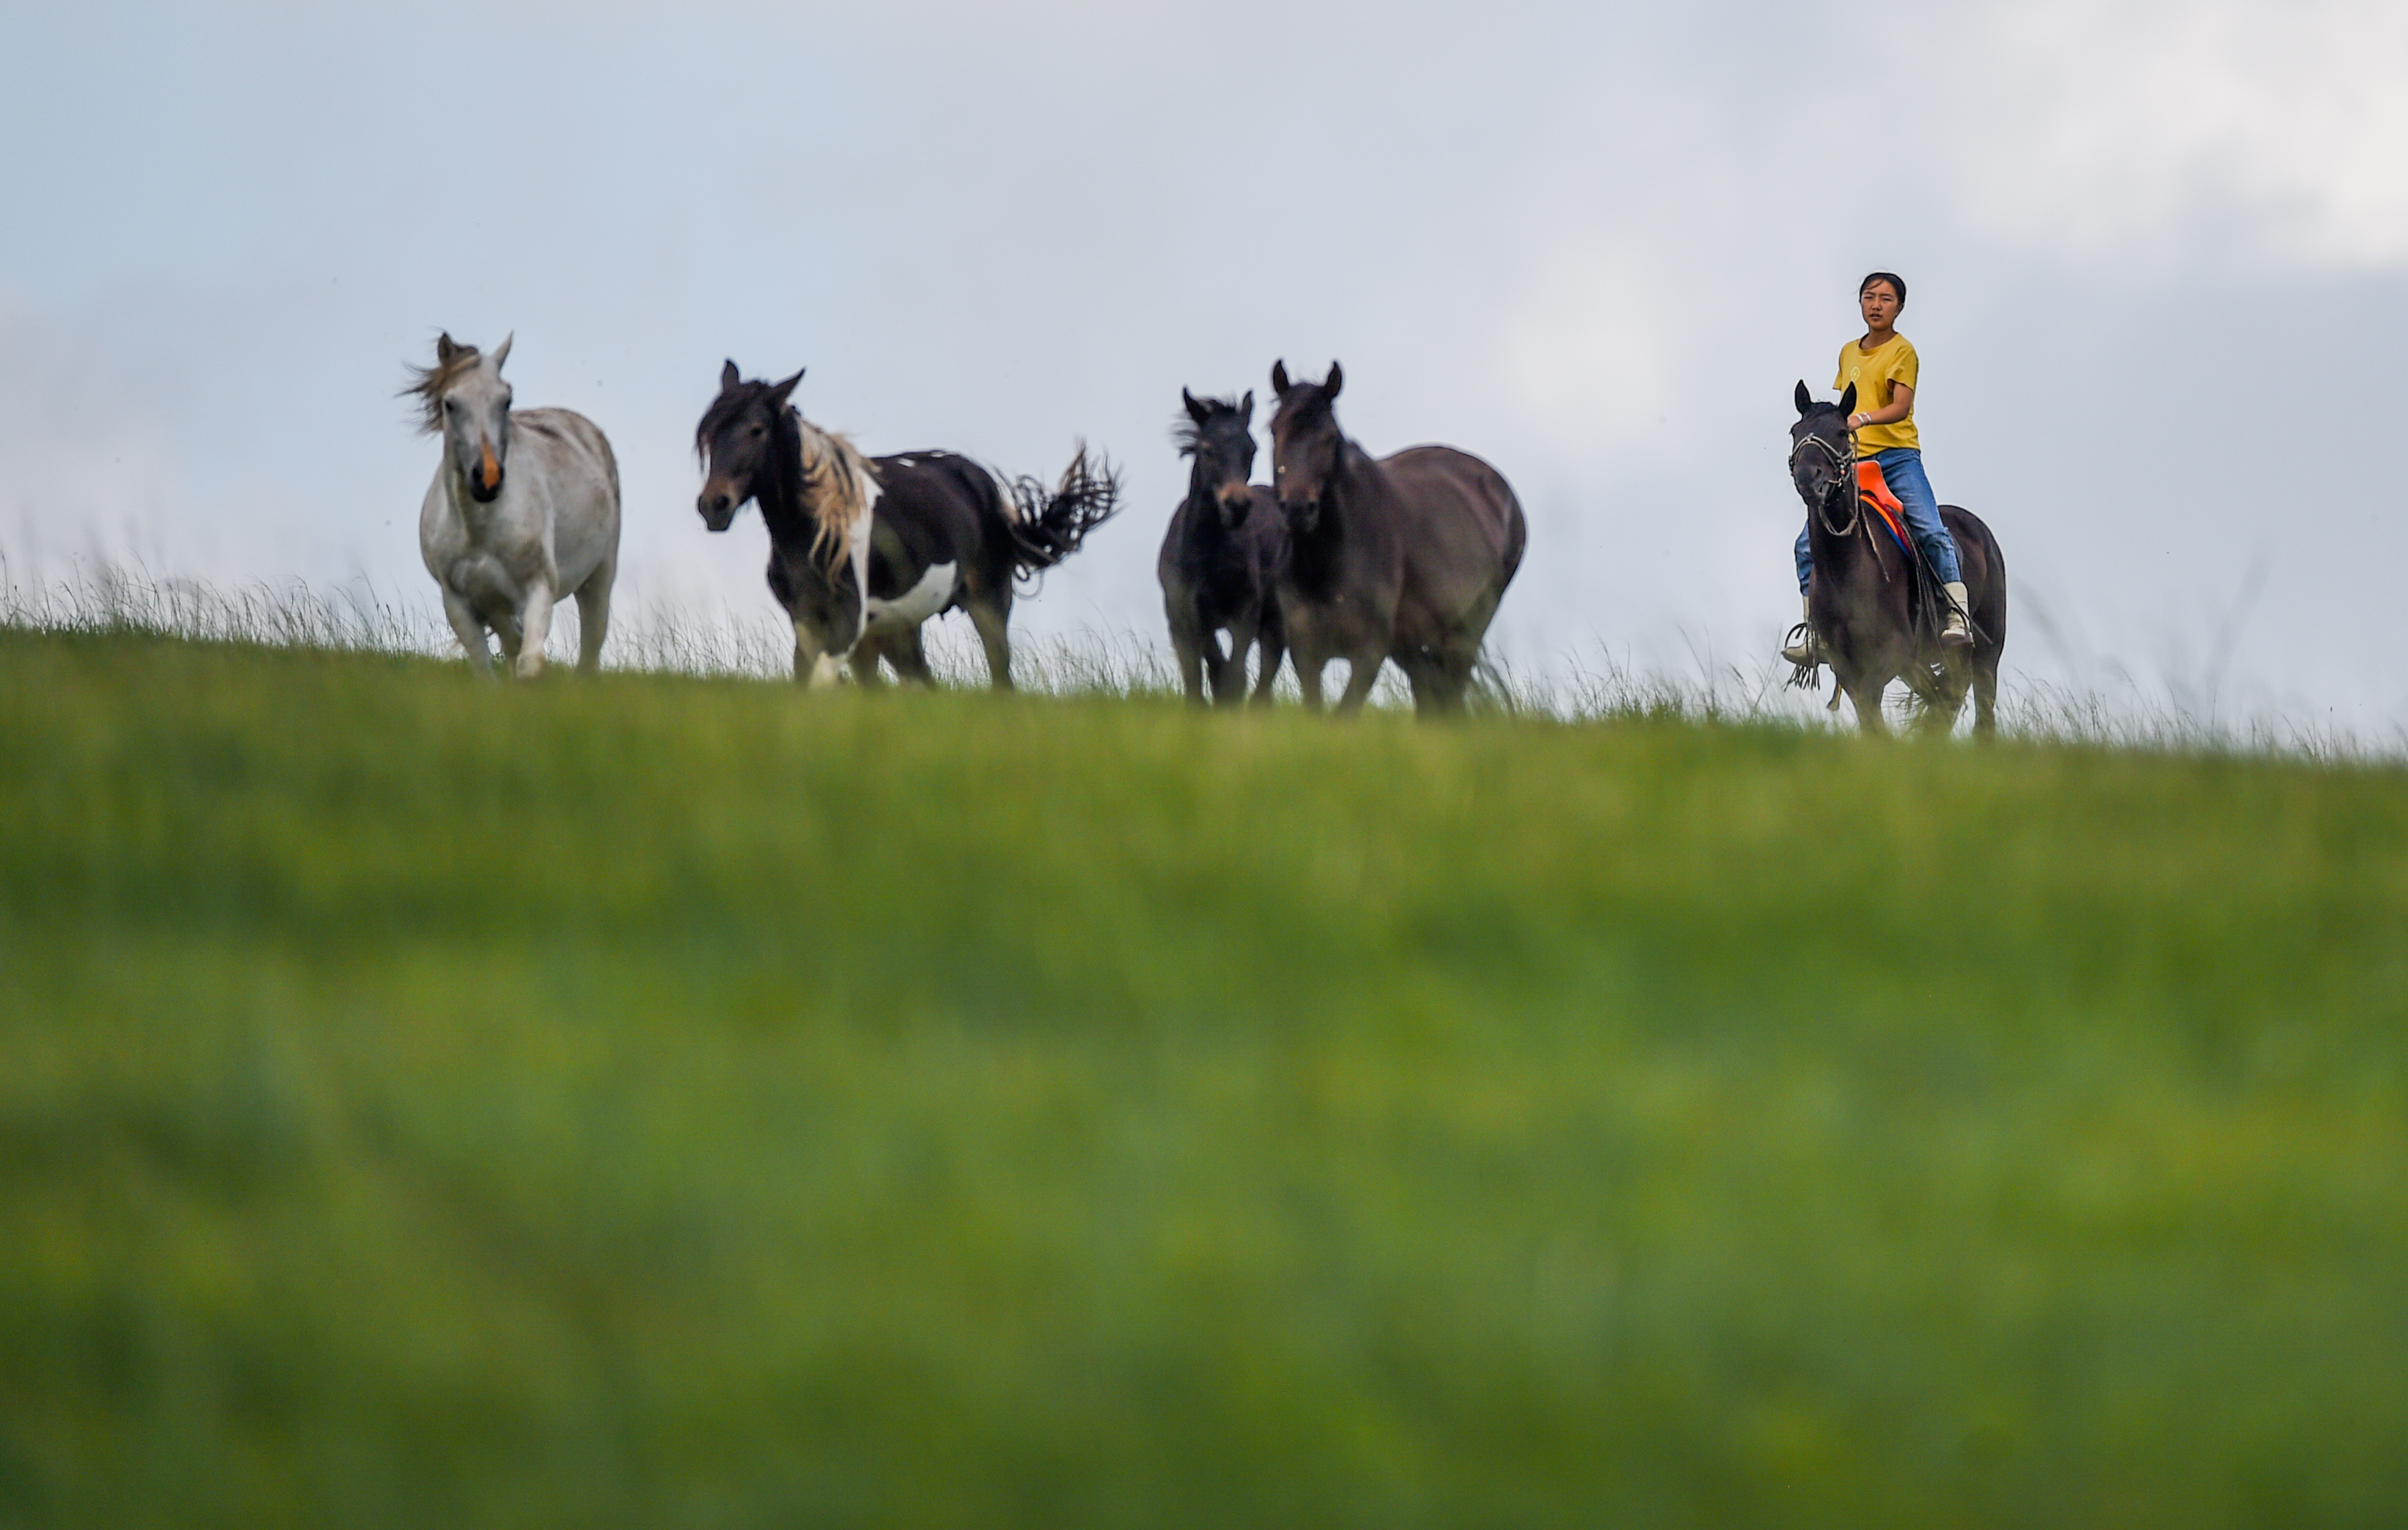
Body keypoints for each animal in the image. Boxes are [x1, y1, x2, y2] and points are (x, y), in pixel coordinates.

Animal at [412, 335, 621, 674]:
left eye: (506, 401)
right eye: (450, 404)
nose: (487, 480)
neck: (478, 528)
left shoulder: (538, 589)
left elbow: (530, 664)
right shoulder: (459, 605)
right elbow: (487, 670)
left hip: (599, 577)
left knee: (591, 647)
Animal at [688, 366, 1117, 689]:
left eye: (757, 430)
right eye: (709, 432)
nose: (714, 505)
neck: (815, 530)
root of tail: (985, 484)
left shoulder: (847, 624)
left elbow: (820, 683)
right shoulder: (807, 623)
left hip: (988, 603)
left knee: (1001, 676)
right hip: (898, 631)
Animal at [1160, 392, 1290, 708]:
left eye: (1251, 449)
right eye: (1207, 449)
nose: (1237, 505)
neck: (1203, 555)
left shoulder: (1245, 611)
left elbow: (1233, 673)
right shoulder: (1182, 617)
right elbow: (1201, 672)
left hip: (1276, 617)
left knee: (1267, 670)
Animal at [1261, 361, 1522, 713]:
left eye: (1330, 438)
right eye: (1274, 431)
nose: (1298, 510)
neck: (1327, 563)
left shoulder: (1369, 653)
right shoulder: (1306, 653)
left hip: (1465, 632)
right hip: (1413, 644)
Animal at [1791, 383, 2013, 742]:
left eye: (1841, 432)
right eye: (1795, 432)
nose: (1808, 478)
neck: (1846, 568)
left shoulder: (1889, 657)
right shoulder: (1849, 666)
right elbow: (1872, 724)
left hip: (1986, 650)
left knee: (1980, 707)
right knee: (1946, 696)